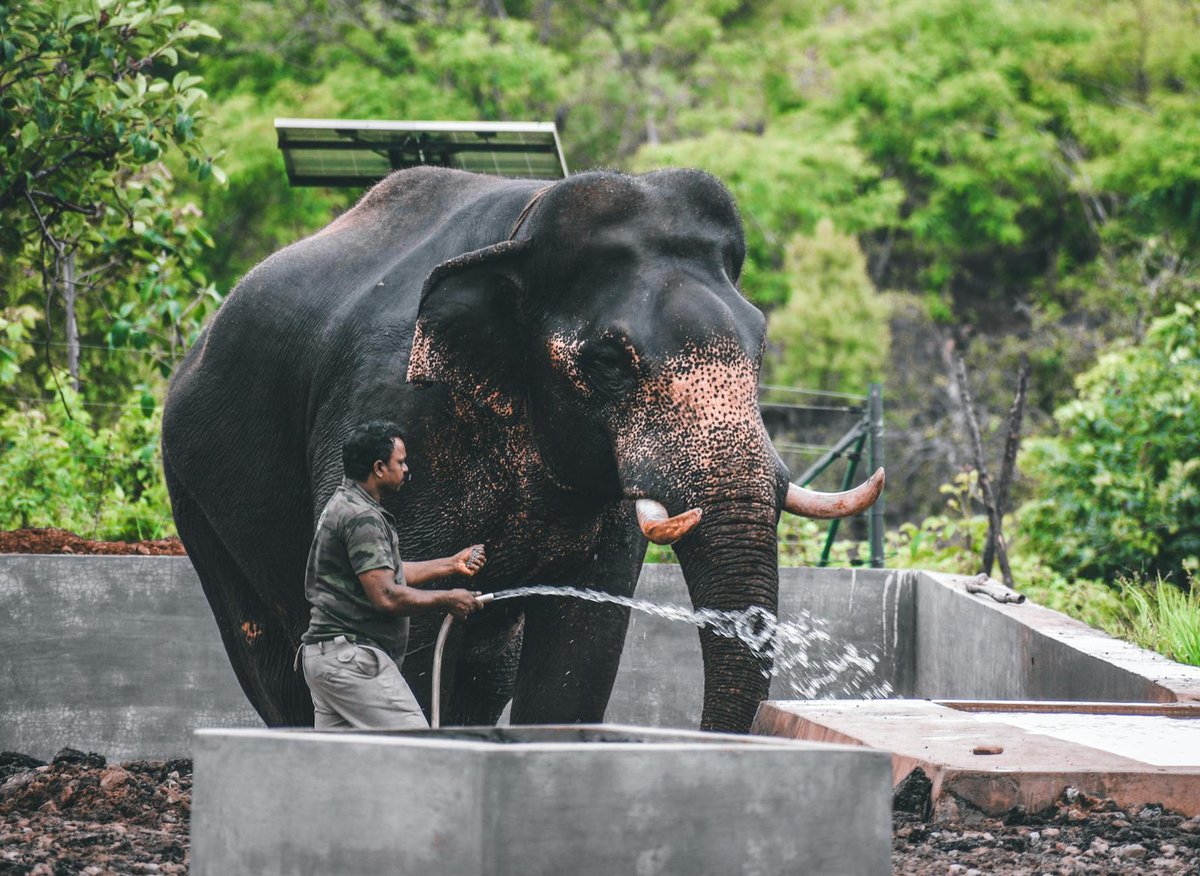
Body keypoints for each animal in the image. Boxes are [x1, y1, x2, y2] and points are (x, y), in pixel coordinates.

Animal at [161, 166, 883, 734]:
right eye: (609, 361)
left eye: (759, 344)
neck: (523, 231)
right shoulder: (395, 413)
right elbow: (406, 621)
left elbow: (583, 638)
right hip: (195, 490)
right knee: (267, 652)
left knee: (487, 666)